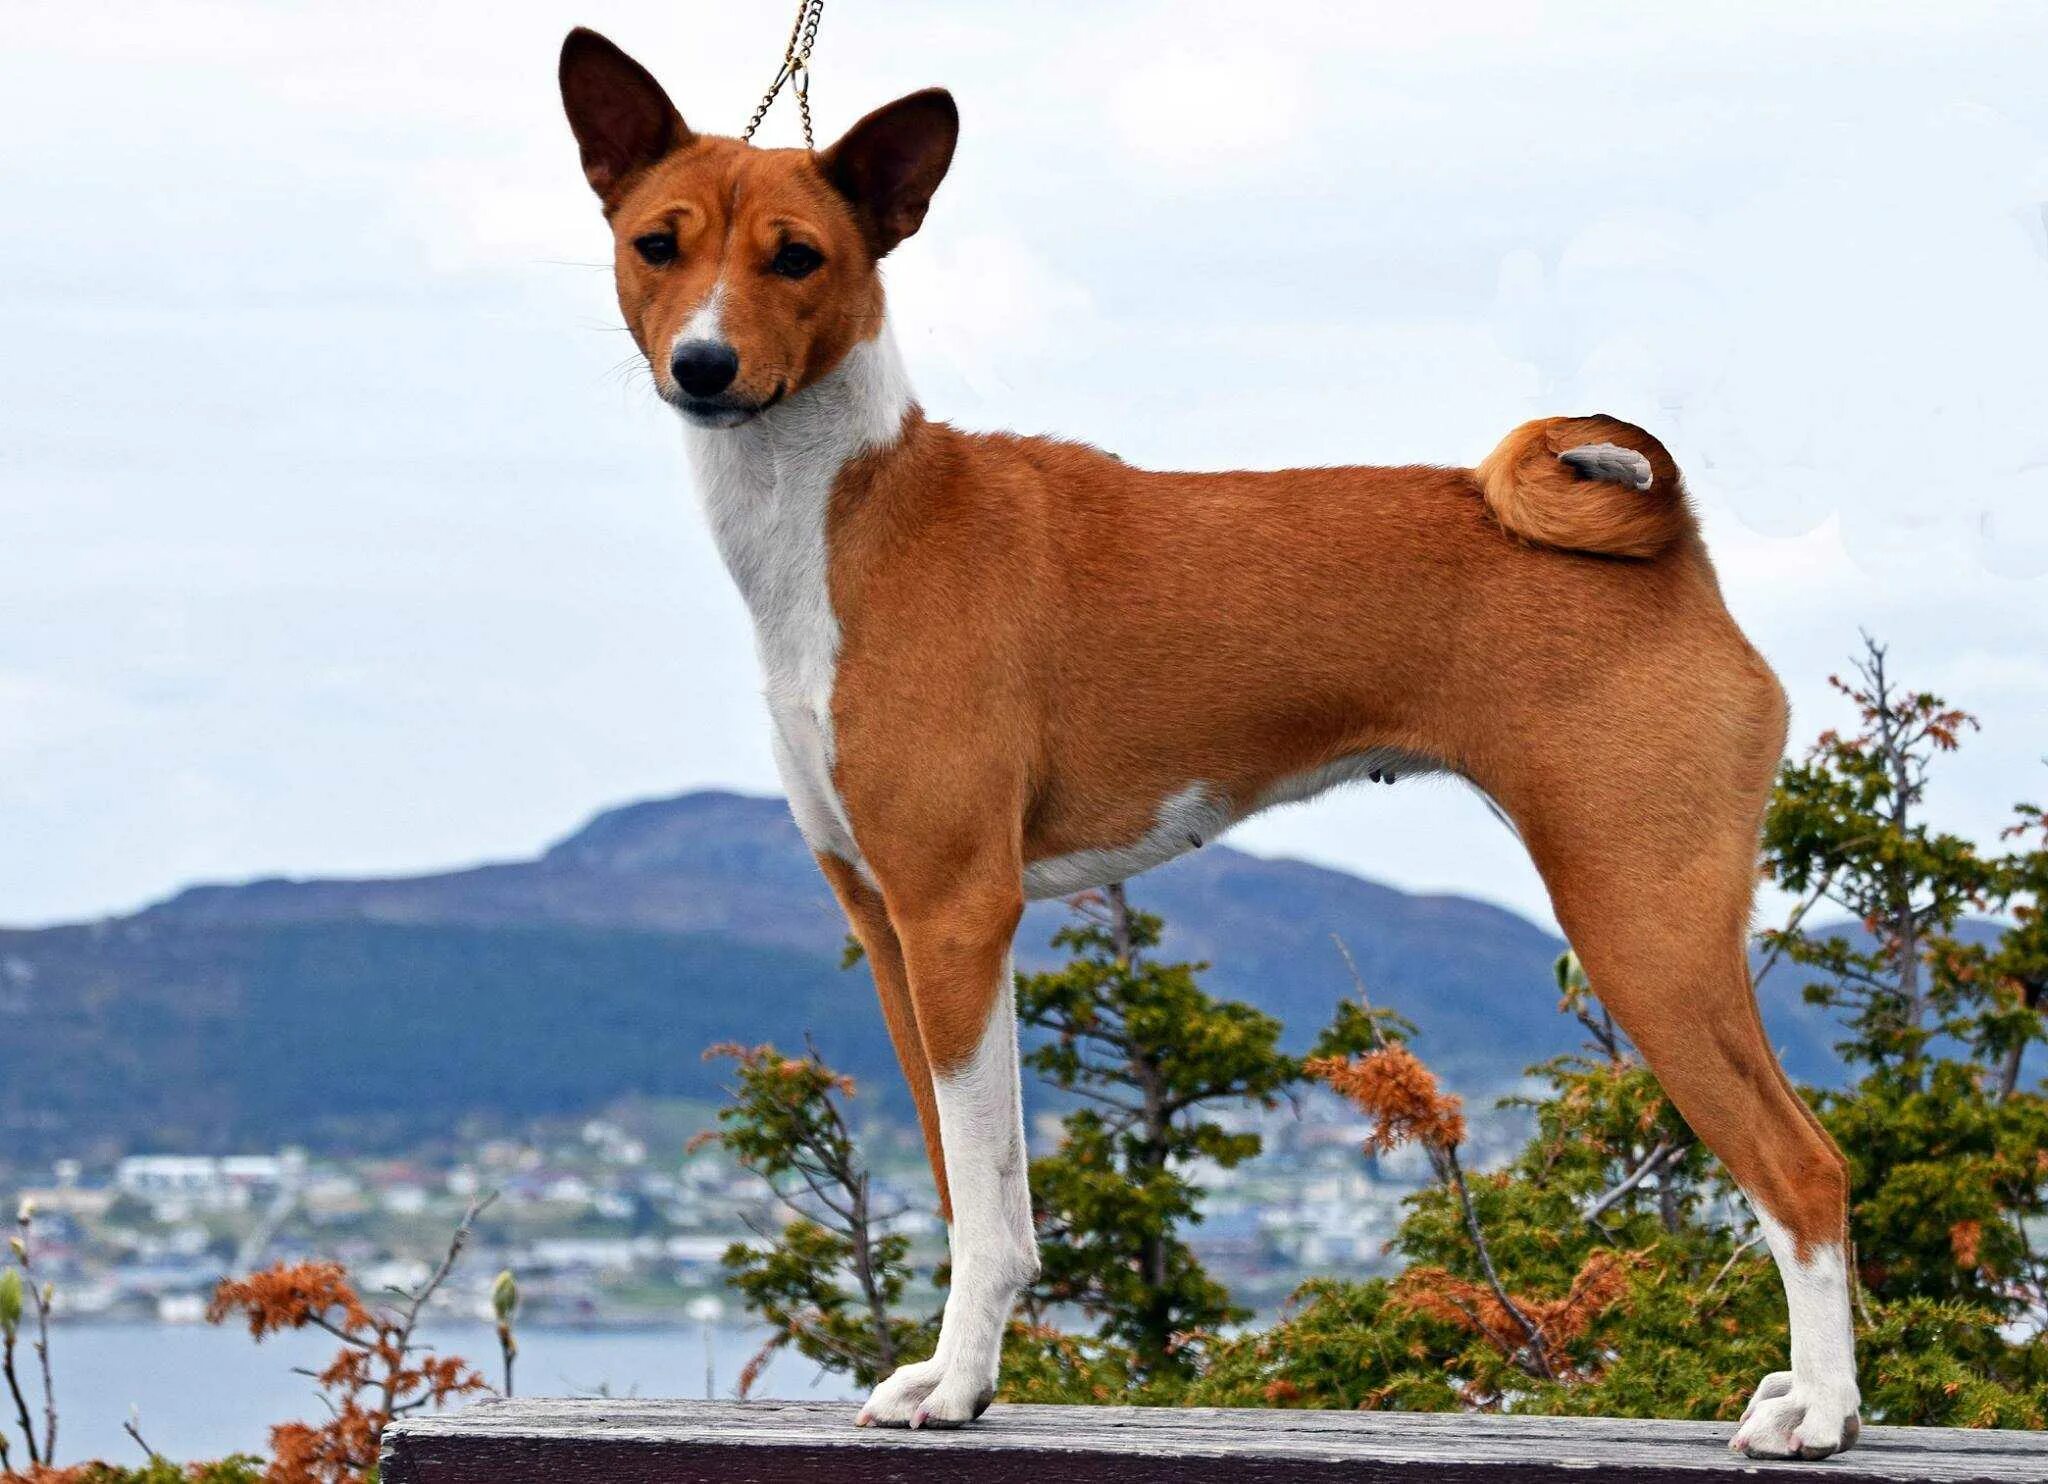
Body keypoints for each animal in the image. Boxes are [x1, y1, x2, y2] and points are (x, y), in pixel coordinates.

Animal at [557, 28, 1859, 1449]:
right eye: (657, 243)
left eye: (796, 256)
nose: (702, 365)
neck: (847, 518)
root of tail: (1675, 552)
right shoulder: (886, 917)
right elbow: (968, 1182)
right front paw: (962, 1371)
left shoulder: (957, 908)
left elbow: (988, 1207)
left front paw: (956, 1384)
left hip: (1639, 916)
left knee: (1803, 1168)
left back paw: (1821, 1409)